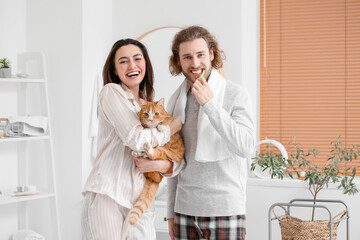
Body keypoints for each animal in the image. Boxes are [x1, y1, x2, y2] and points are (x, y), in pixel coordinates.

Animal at [129, 97, 184, 225]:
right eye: (146, 114)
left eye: (156, 114)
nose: (150, 119)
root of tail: (156, 180)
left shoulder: (170, 117)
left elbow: (166, 120)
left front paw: (162, 126)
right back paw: (139, 152)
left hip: (164, 153)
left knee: (154, 154)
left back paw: (145, 150)